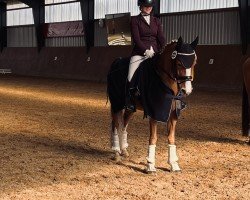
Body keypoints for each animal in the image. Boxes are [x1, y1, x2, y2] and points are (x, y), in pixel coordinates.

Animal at [106, 36, 198, 173]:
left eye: (194, 63)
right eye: (179, 63)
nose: (187, 90)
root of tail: (116, 62)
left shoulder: (172, 114)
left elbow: (171, 138)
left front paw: (174, 164)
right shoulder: (154, 112)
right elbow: (153, 138)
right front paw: (150, 165)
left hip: (129, 107)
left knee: (123, 125)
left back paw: (124, 150)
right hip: (116, 103)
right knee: (116, 125)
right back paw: (117, 152)